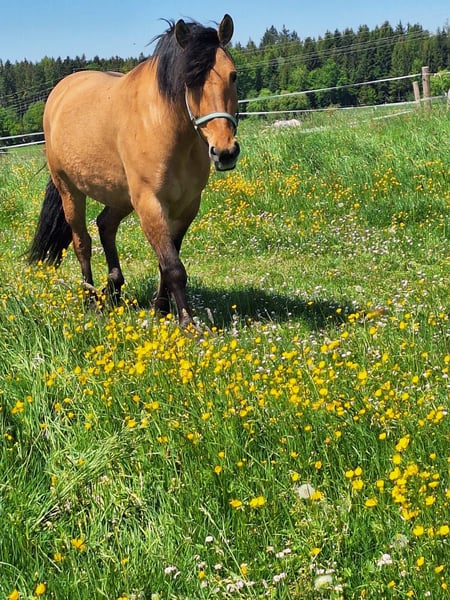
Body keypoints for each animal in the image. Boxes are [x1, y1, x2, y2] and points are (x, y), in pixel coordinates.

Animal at [28, 14, 240, 328]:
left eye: (233, 75)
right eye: (189, 80)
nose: (224, 151)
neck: (164, 126)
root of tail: (60, 91)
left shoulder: (186, 207)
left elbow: (166, 262)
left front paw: (161, 309)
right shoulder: (150, 203)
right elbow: (173, 266)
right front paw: (187, 323)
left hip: (121, 197)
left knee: (105, 224)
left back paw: (114, 288)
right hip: (71, 191)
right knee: (82, 243)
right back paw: (91, 299)